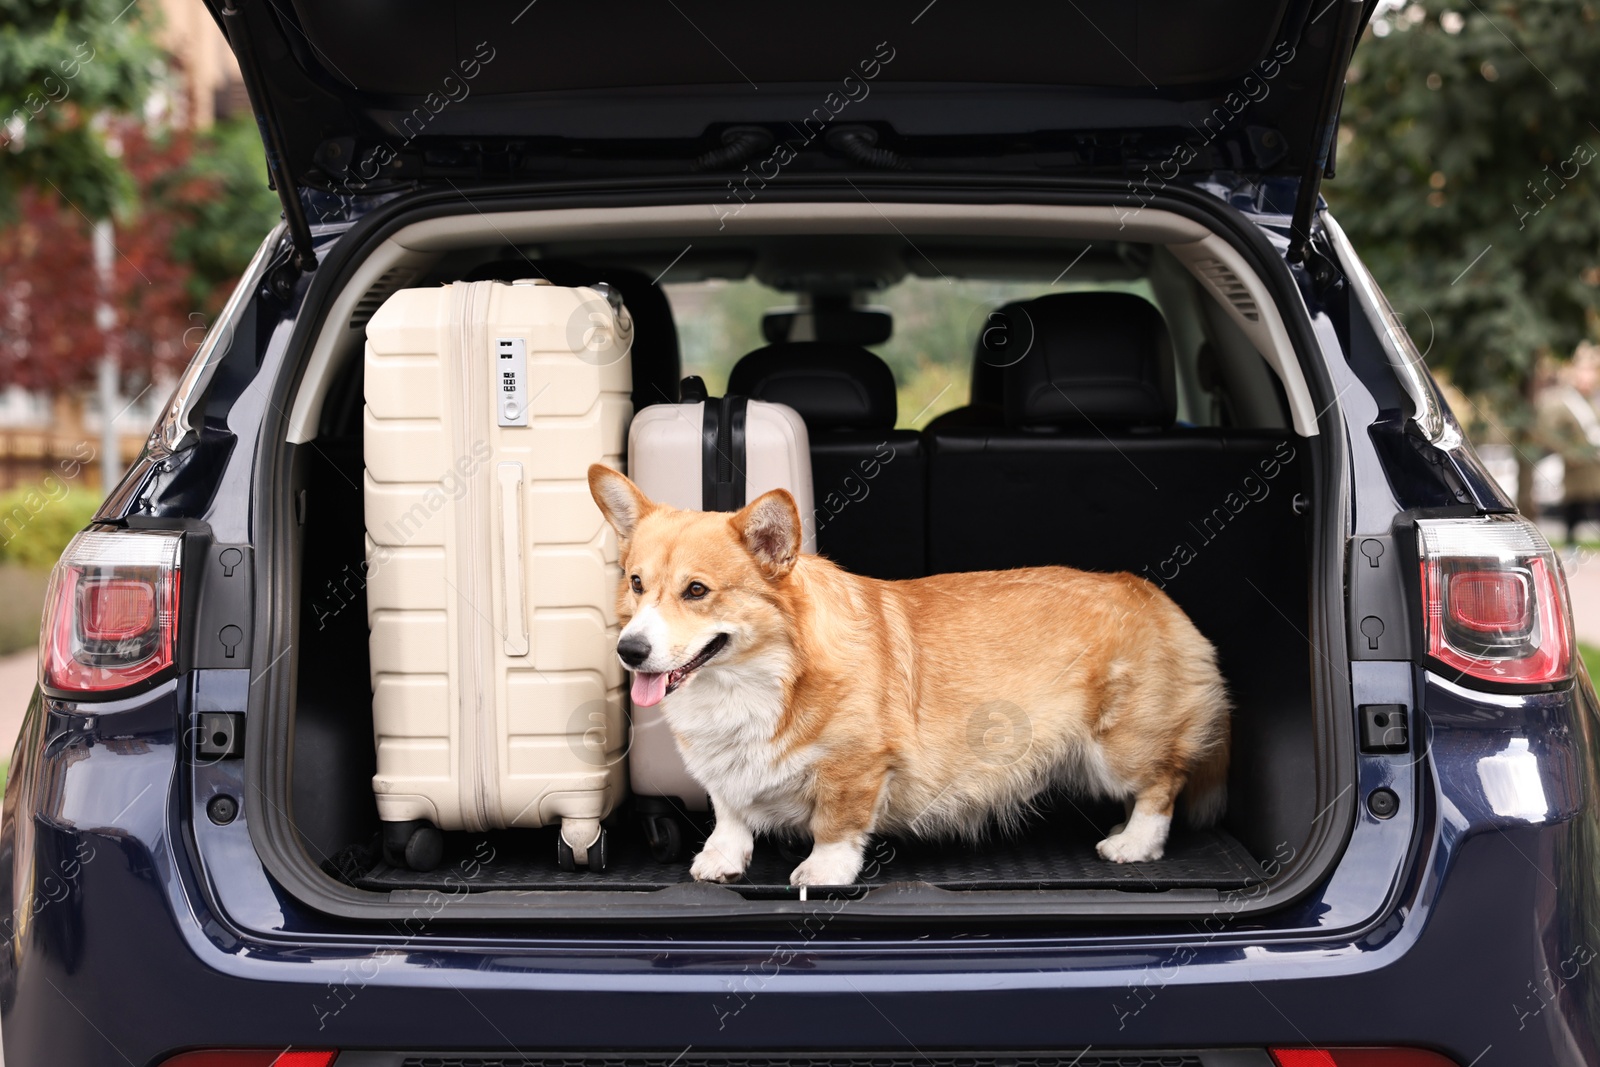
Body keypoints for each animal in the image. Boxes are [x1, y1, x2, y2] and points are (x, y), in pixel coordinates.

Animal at [588, 463, 1222, 889]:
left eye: (697, 591)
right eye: (636, 583)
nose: (629, 651)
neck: (757, 678)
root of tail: (1149, 592)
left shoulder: (857, 766)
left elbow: (836, 824)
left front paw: (822, 871)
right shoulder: (725, 770)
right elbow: (730, 812)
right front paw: (721, 860)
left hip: (1121, 748)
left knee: (1162, 783)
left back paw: (1133, 843)